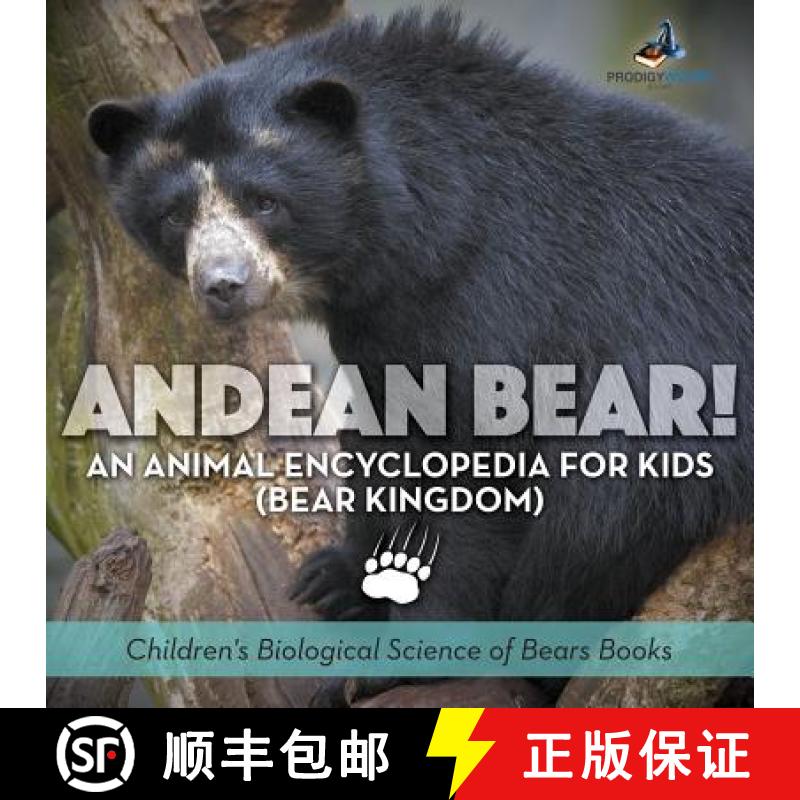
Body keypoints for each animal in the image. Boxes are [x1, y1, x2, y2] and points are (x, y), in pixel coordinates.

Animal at [87, 8, 753, 704]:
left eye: (265, 201)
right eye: (174, 214)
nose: (223, 285)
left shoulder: (493, 293)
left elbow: (475, 463)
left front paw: (392, 661)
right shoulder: (384, 324)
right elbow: (385, 430)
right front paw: (339, 578)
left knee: (601, 510)